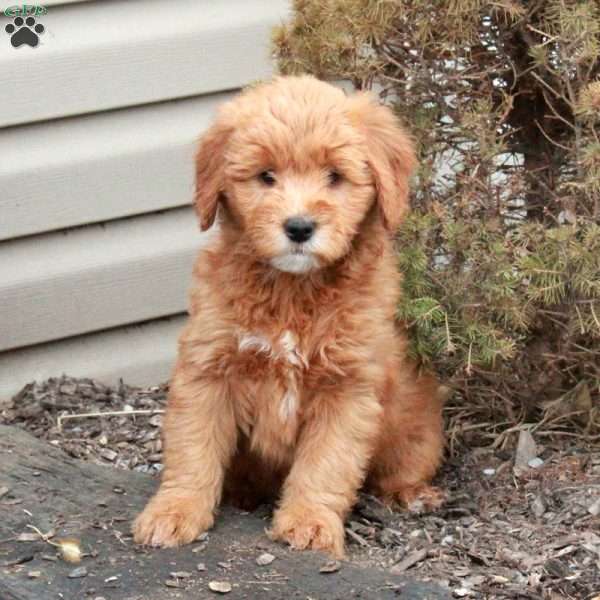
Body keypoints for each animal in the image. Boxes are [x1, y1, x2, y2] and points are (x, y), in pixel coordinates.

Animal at [135, 75, 446, 556]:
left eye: (335, 176)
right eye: (266, 176)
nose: (299, 227)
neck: (291, 293)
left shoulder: (348, 388)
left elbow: (327, 463)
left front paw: (310, 523)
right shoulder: (207, 369)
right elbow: (193, 448)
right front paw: (174, 512)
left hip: (418, 420)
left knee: (406, 462)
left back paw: (413, 494)